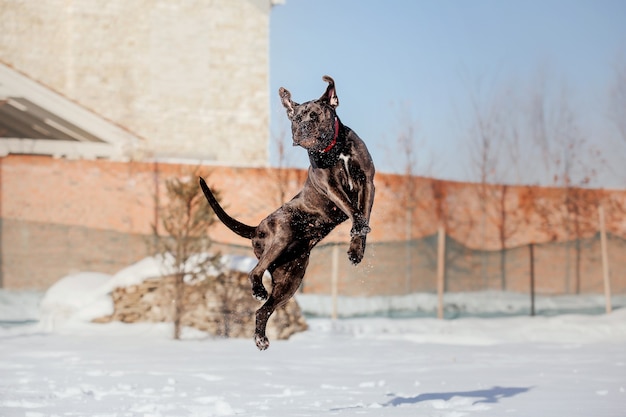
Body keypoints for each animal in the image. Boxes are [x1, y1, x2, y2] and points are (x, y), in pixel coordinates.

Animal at [197, 76, 372, 350]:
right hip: (280, 238)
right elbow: (353, 210)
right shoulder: (332, 188)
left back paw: (261, 338)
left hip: (291, 278)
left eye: (314, 115)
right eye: (295, 118)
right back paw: (258, 291)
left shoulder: (368, 183)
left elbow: (361, 215)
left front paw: (357, 249)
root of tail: (255, 228)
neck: (334, 148)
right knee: (254, 272)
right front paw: (358, 231)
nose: (301, 128)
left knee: (263, 310)